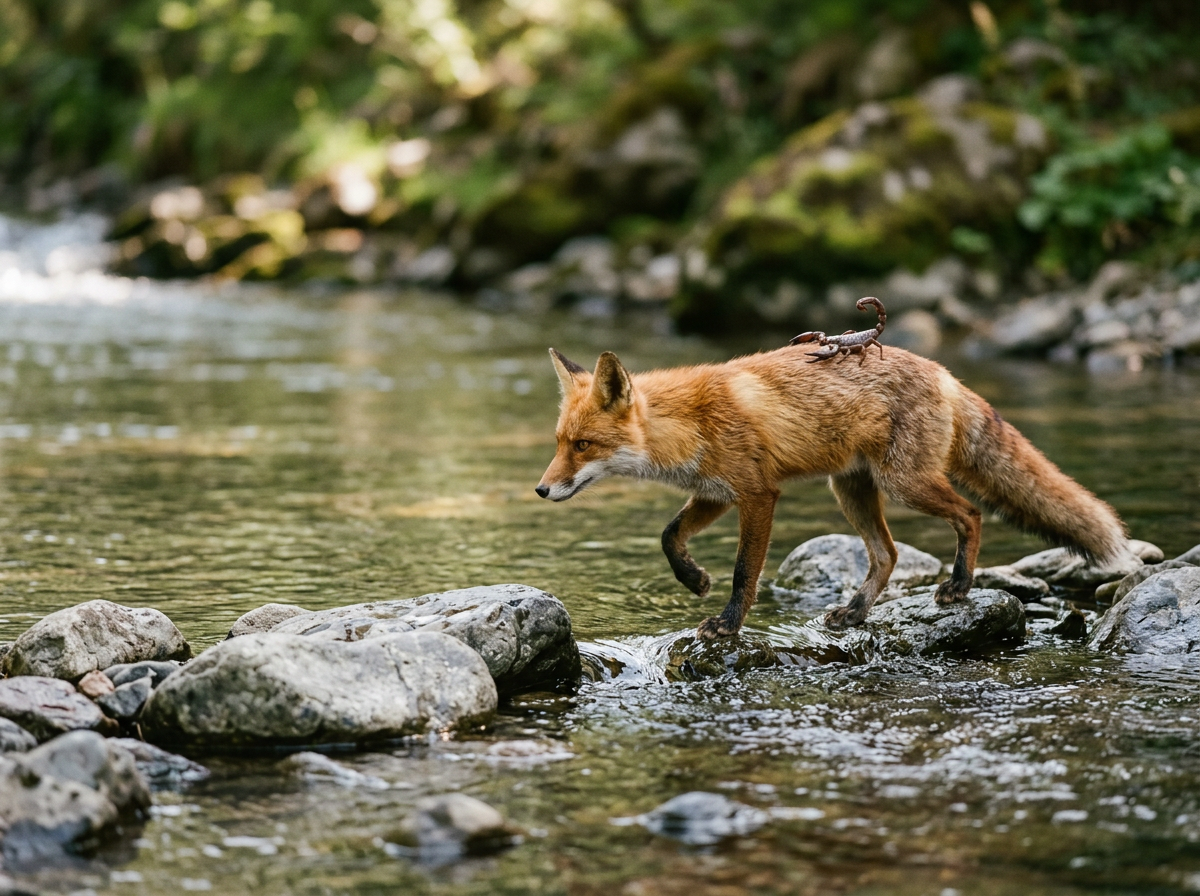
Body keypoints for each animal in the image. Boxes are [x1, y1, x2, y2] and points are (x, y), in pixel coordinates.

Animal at [535, 338, 1131, 639]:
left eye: (583, 445)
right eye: (560, 442)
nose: (541, 490)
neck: (690, 423)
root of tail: (945, 373)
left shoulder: (758, 495)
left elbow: (745, 572)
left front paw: (727, 623)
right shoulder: (716, 491)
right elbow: (668, 535)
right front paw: (693, 579)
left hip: (904, 483)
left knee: (970, 514)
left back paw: (959, 585)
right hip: (852, 491)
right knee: (887, 555)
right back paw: (857, 612)